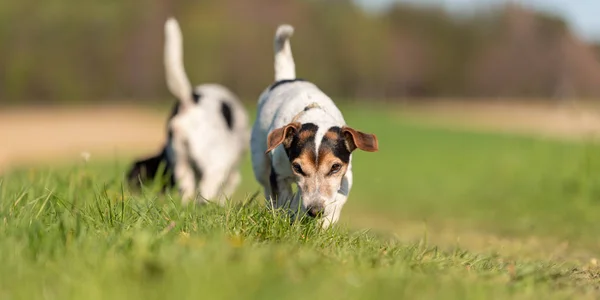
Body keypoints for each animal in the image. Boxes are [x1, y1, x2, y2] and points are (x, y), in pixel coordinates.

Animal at [126, 17, 248, 205]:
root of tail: (189, 103)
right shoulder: (230, 174)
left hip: (182, 165)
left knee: (188, 193)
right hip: (216, 165)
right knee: (205, 193)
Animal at [251, 25, 378, 227]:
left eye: (335, 167)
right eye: (297, 167)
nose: (315, 210)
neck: (314, 114)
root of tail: (287, 79)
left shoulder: (346, 177)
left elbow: (336, 200)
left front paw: (323, 223)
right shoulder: (278, 175)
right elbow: (284, 200)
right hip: (259, 164)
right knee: (267, 189)